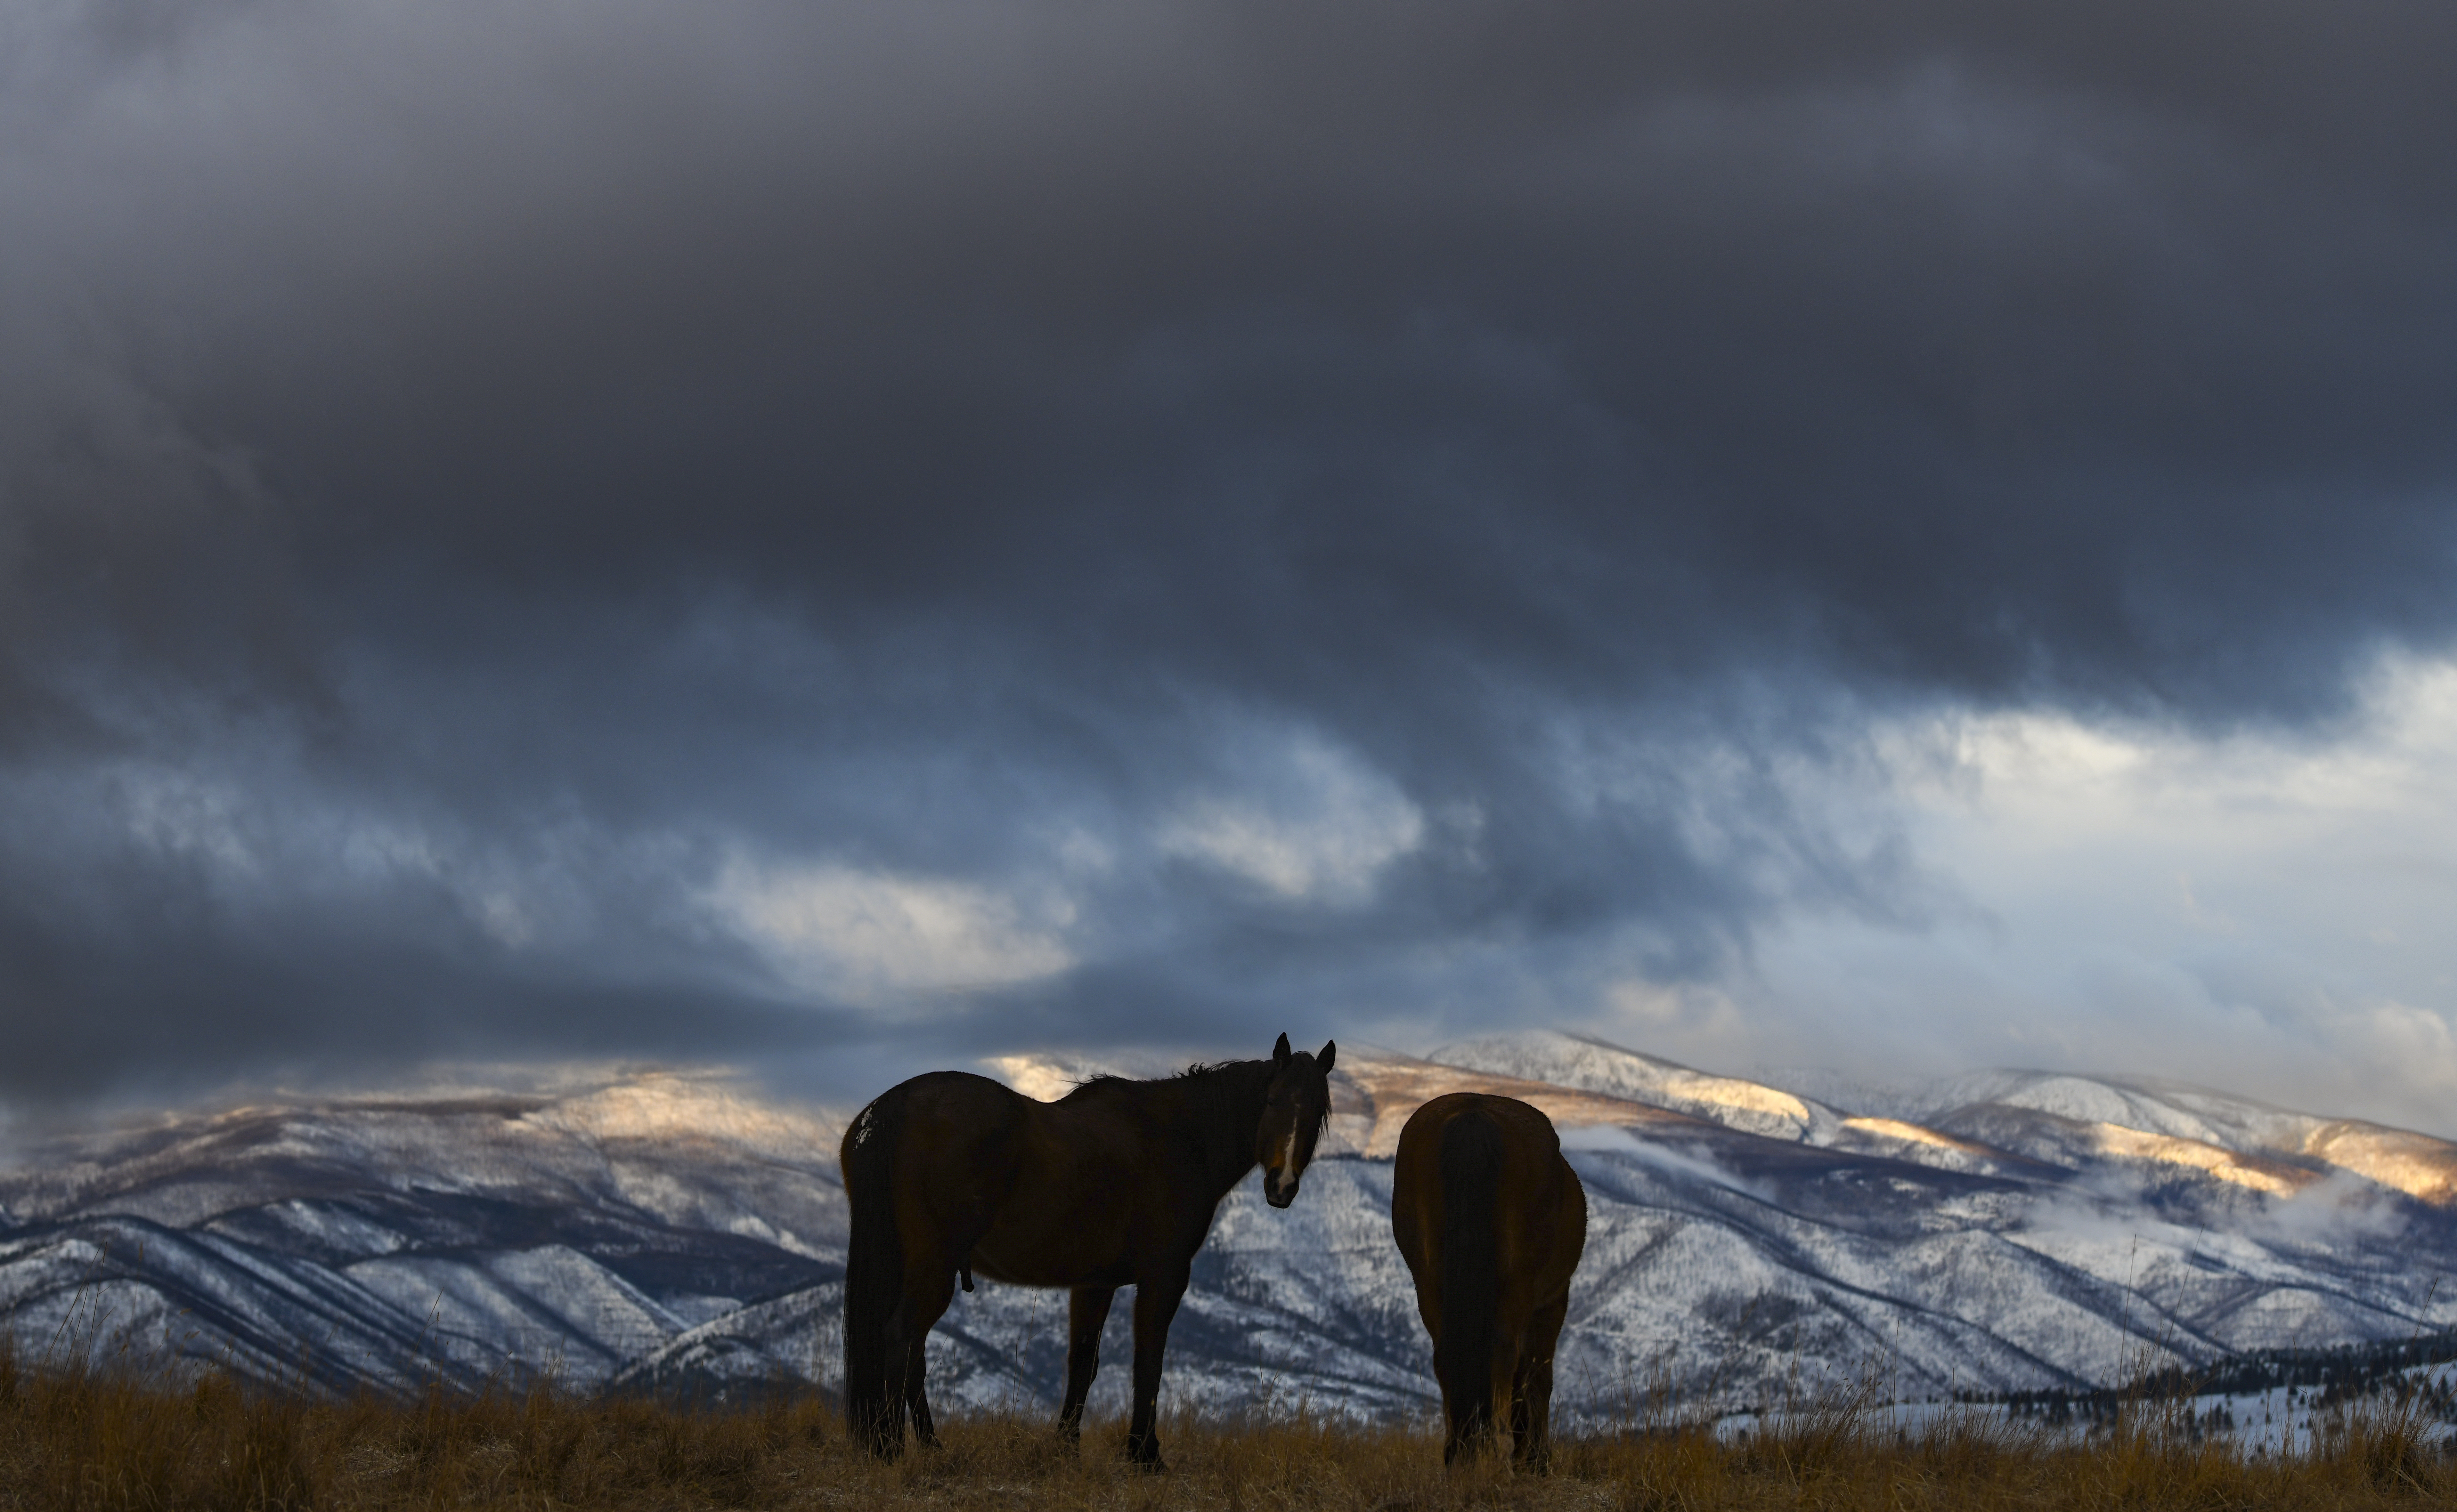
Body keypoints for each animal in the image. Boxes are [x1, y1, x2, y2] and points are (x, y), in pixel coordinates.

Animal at [839, 1033, 1337, 1467]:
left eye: (1318, 1113)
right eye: (1272, 1101)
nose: (1282, 1186)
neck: (1179, 1139)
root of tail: (894, 1106)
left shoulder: (1095, 1283)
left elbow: (1083, 1363)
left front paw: (1066, 1447)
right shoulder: (1165, 1276)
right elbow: (1148, 1360)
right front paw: (1145, 1454)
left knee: (911, 1351)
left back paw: (922, 1445)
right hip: (934, 1267)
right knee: (903, 1341)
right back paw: (899, 1448)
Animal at [1390, 1092, 1587, 1470]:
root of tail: (1472, 1113)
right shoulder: (1552, 1302)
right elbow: (1537, 1375)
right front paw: (1534, 1458)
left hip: (1429, 1285)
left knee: (1446, 1355)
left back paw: (1460, 1452)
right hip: (1516, 1288)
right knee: (1507, 1356)